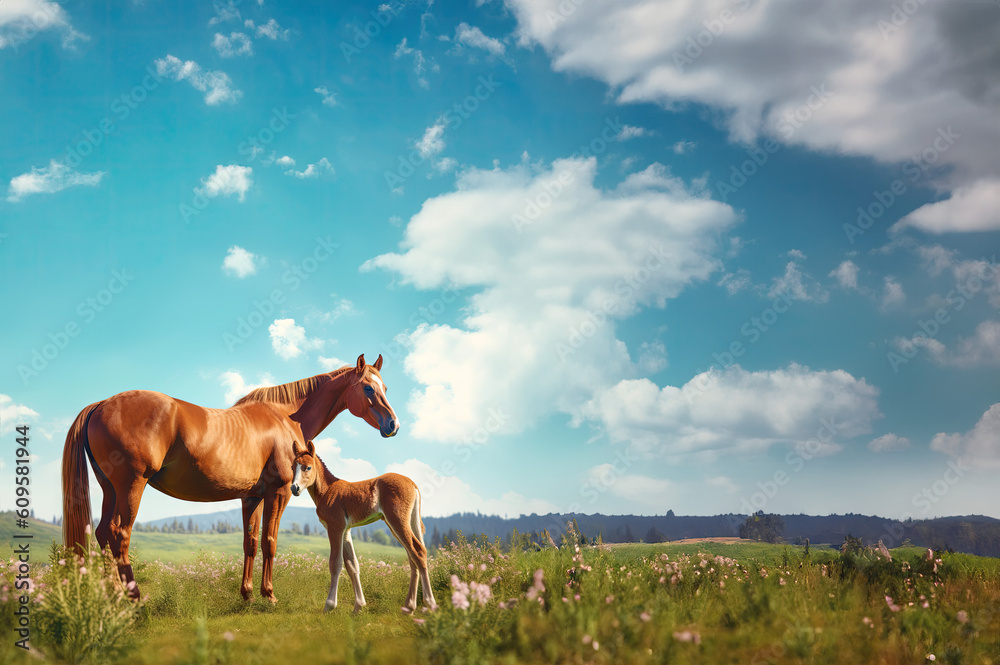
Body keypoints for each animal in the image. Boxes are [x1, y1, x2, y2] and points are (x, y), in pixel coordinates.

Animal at [61, 354, 398, 602]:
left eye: (385, 387)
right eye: (368, 388)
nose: (393, 425)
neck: (284, 417)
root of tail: (101, 405)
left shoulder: (252, 496)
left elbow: (250, 542)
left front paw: (247, 594)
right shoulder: (279, 493)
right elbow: (270, 541)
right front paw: (269, 595)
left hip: (110, 489)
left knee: (103, 533)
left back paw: (113, 596)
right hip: (132, 486)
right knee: (119, 534)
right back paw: (133, 598)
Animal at [289, 439, 437, 613]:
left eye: (308, 467)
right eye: (292, 467)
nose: (294, 488)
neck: (327, 490)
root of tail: (413, 483)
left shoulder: (335, 527)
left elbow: (335, 563)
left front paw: (329, 605)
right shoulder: (346, 531)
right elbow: (352, 565)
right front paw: (358, 606)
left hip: (398, 521)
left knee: (418, 552)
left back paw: (430, 603)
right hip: (400, 524)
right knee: (412, 557)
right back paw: (409, 607)